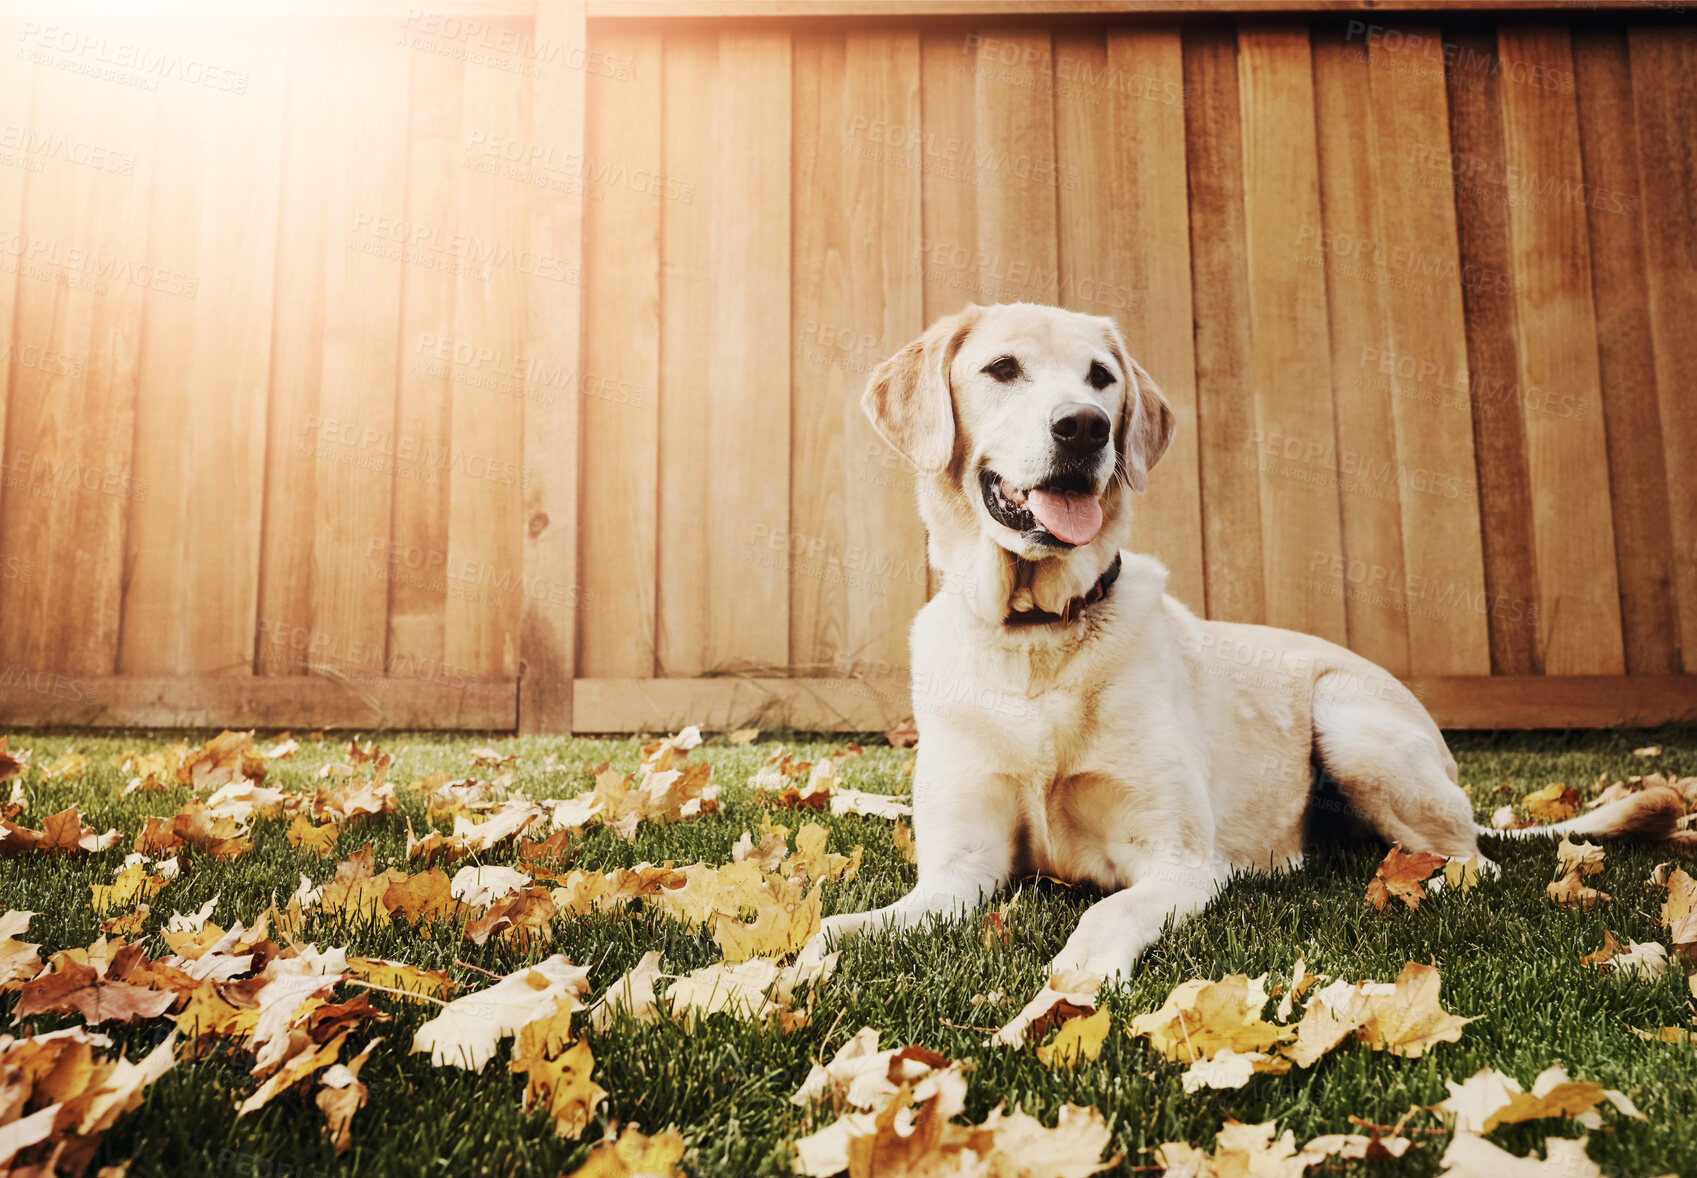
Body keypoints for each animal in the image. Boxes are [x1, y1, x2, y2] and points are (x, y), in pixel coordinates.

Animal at [797, 300, 1683, 984]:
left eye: (1100, 377)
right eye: (1002, 368)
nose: (1084, 428)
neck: (1037, 637)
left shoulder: (1174, 861)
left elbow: (1106, 913)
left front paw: (1077, 978)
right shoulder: (959, 868)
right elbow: (851, 925)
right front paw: (799, 963)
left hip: (1349, 724)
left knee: (1474, 859)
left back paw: (1414, 883)